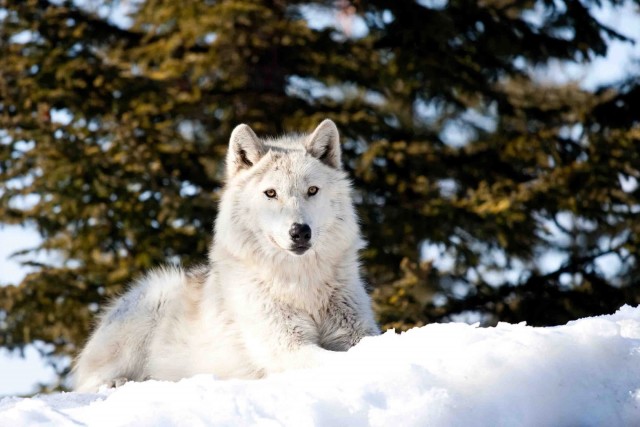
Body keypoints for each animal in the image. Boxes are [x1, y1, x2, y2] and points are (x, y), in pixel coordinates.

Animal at [73, 119, 380, 392]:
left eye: (312, 190)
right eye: (271, 193)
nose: (300, 232)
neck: (302, 285)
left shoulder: (357, 330)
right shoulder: (287, 347)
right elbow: (338, 360)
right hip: (152, 303)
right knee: (87, 385)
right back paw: (119, 383)